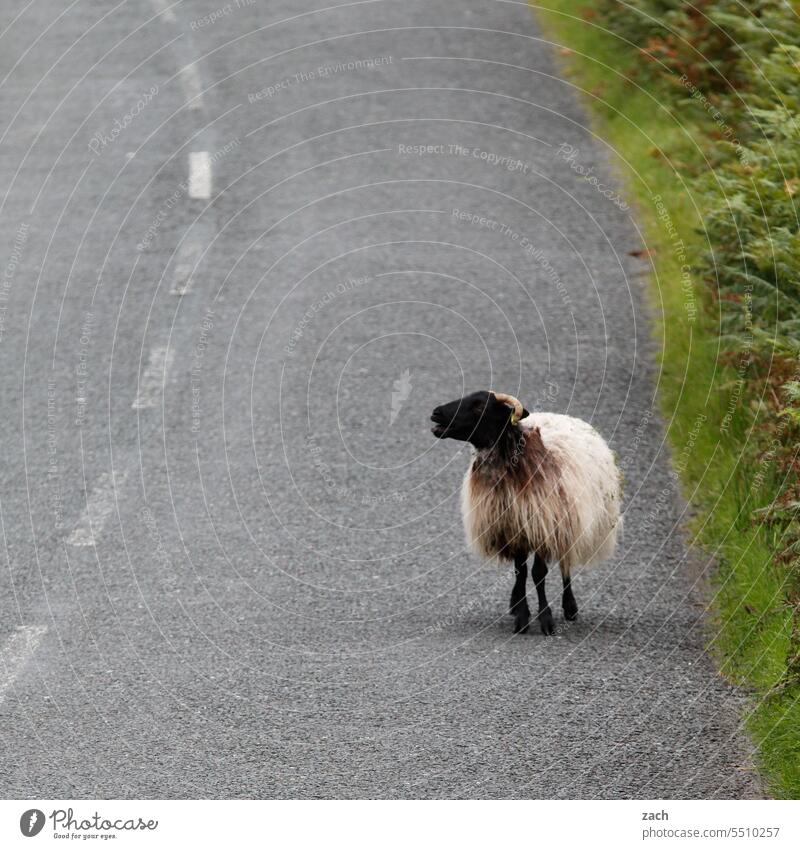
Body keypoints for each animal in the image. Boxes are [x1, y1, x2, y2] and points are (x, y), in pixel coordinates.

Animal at [434, 388, 620, 632]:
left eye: (479, 406)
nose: (436, 413)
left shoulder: (542, 526)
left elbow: (538, 574)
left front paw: (546, 619)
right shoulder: (513, 529)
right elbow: (520, 572)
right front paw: (522, 616)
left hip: (568, 521)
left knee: (565, 563)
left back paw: (570, 606)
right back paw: (516, 603)